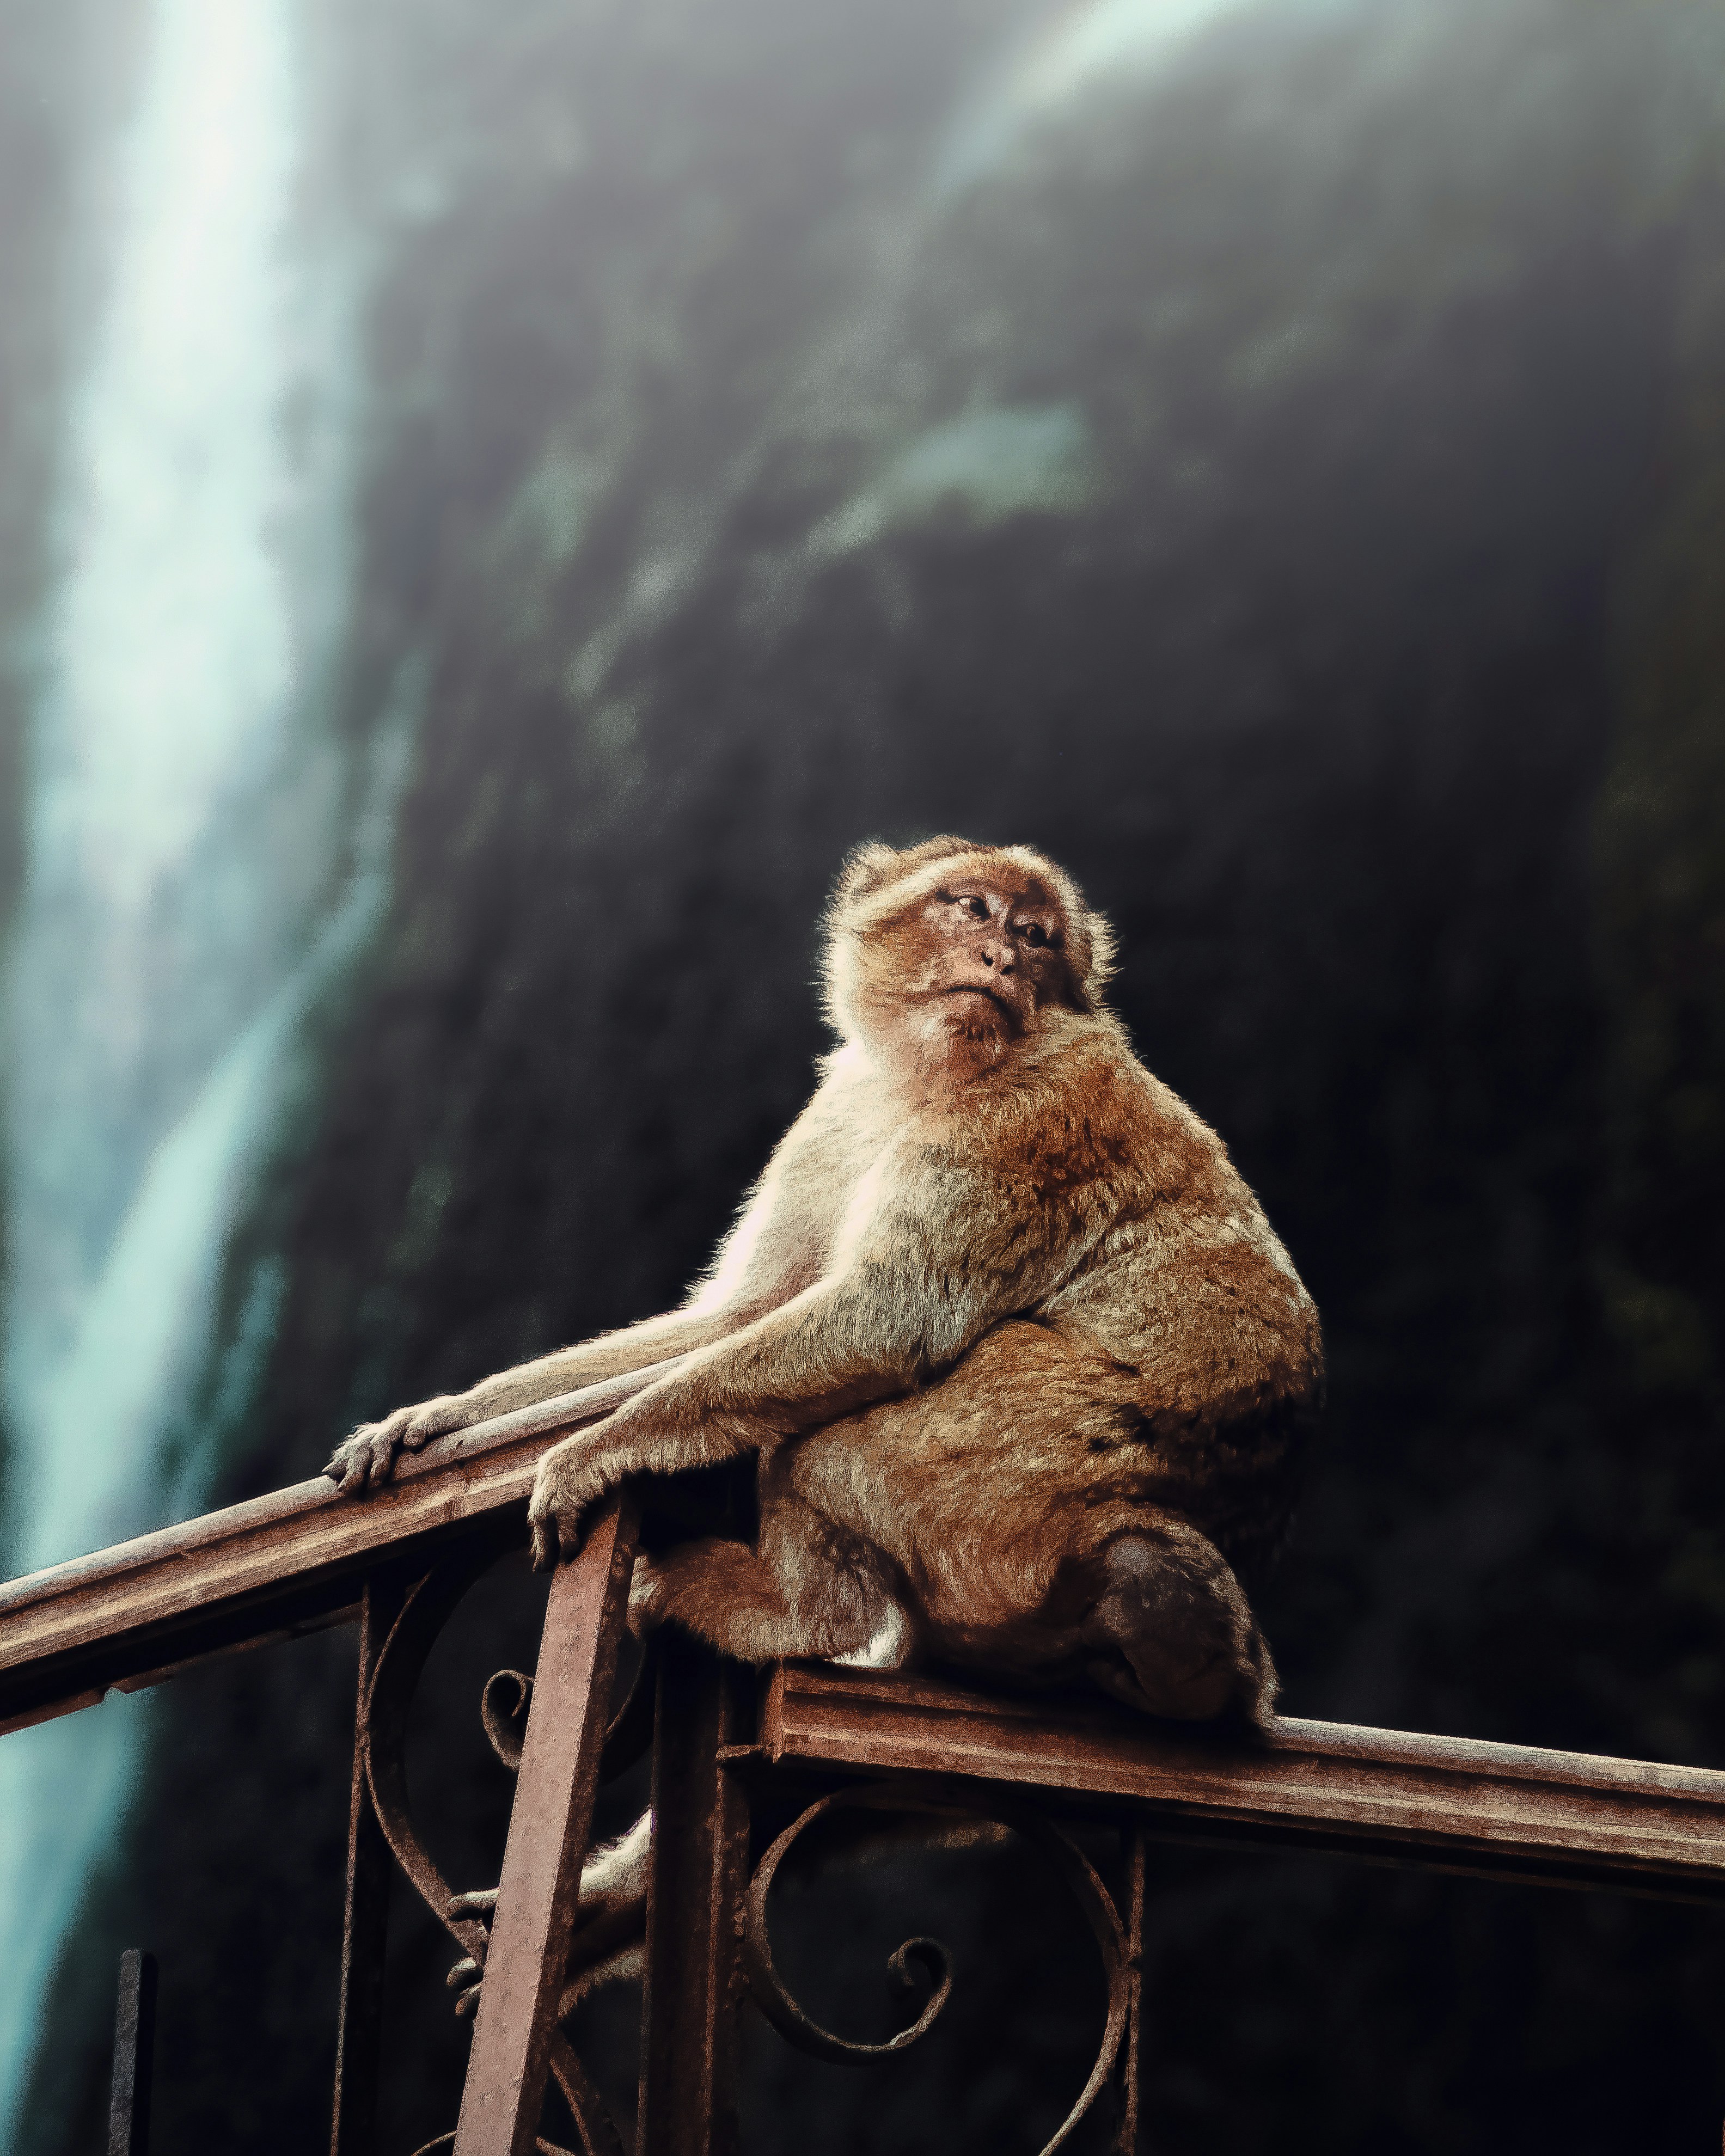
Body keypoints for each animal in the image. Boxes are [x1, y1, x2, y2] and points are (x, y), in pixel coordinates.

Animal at [328, 835, 1322, 1727]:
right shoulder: (841, 1106)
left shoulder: (1032, 1119)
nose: (1002, 956)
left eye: (1038, 936)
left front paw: (595, 1448)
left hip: (1046, 1487)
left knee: (840, 1438)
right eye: (971, 908)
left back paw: (808, 1618)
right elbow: (746, 1312)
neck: (933, 1076)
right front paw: (446, 1415)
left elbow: (885, 1321)